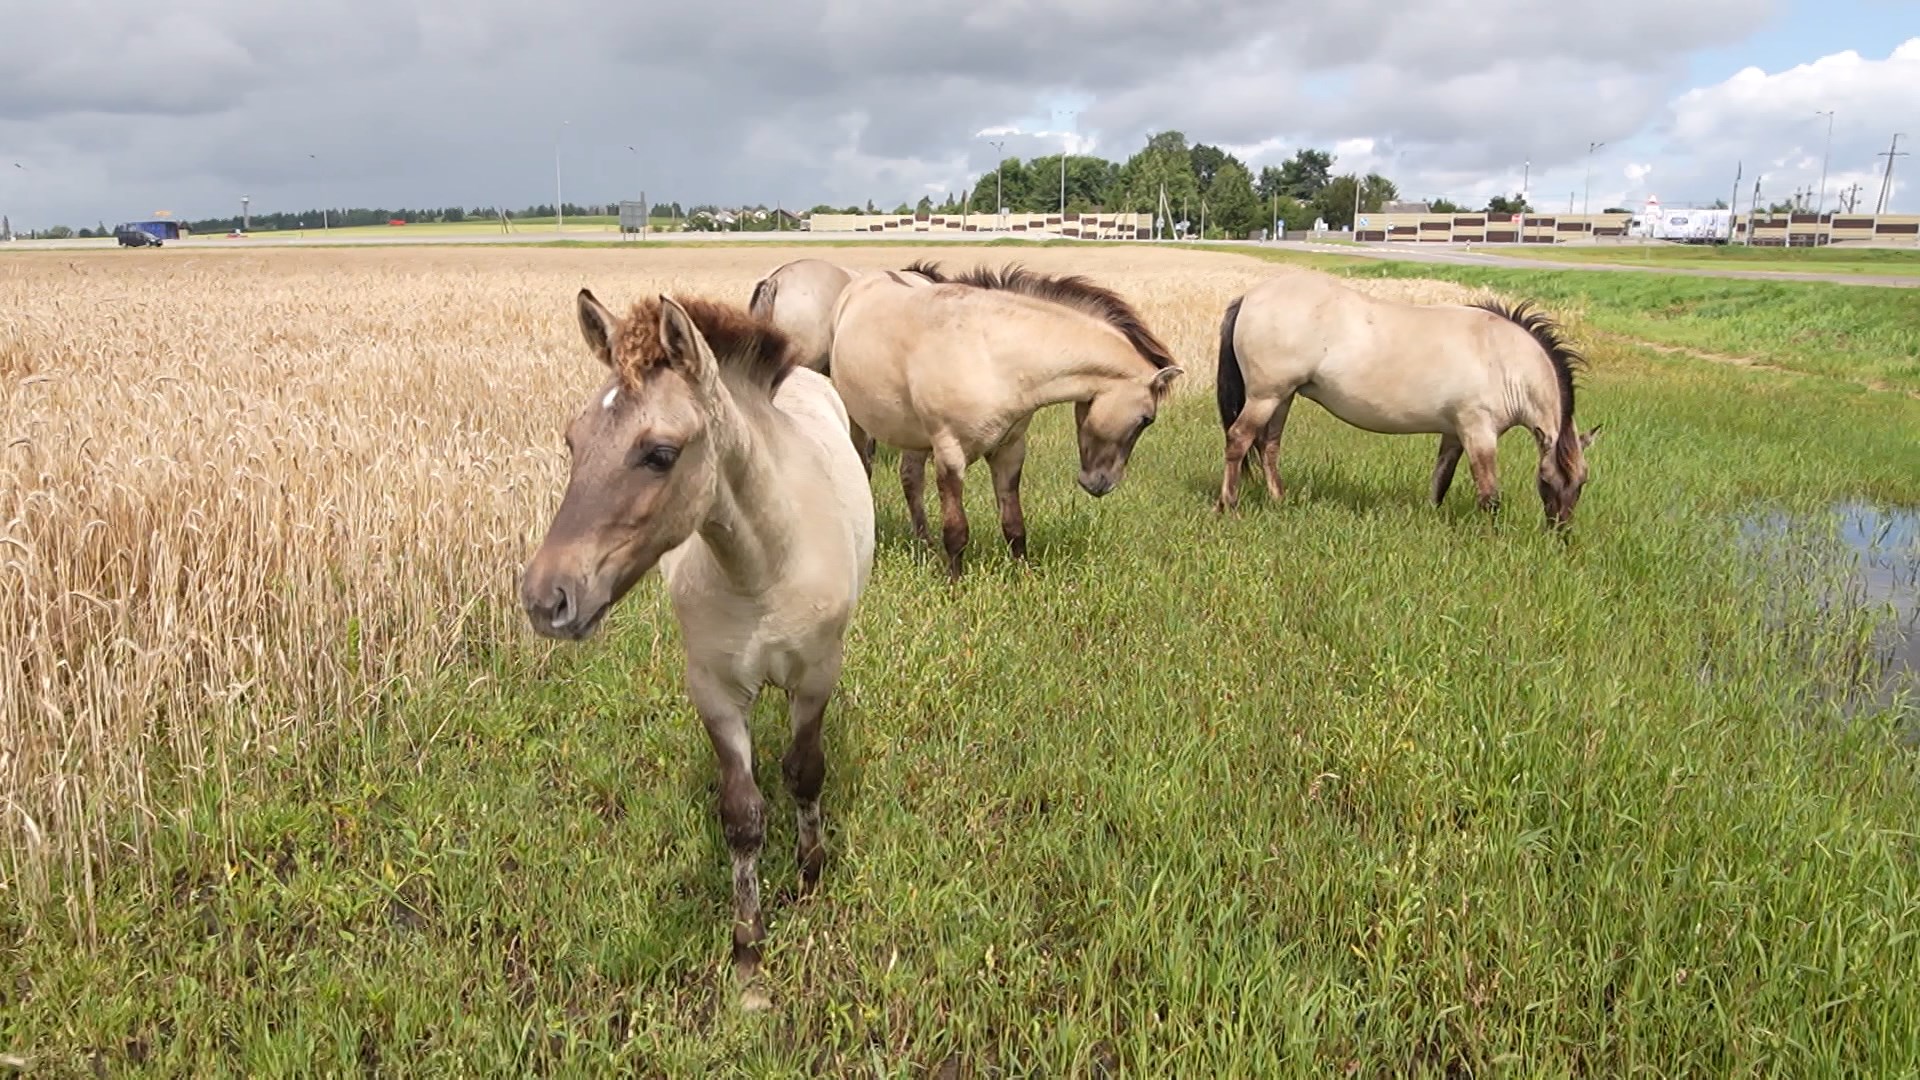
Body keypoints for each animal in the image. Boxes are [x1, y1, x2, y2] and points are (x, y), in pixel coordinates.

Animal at [519, 287, 876, 1011]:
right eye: (573, 439)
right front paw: (748, 957)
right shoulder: (714, 691)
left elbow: (805, 772)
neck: (764, 565)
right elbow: (741, 814)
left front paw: (810, 875)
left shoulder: (816, 676)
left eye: (659, 452)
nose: (547, 599)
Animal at [828, 260, 1184, 578]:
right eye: (1147, 419)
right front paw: (955, 584)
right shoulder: (950, 454)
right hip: (857, 422)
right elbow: (956, 530)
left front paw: (1024, 578)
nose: (1100, 484)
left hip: (912, 436)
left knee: (911, 480)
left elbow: (1014, 524)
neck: (991, 354)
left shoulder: (1009, 450)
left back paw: (924, 544)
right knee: (865, 468)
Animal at [1213, 266, 1600, 527]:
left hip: (1283, 396)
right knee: (1239, 440)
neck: (1504, 358)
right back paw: (1228, 506)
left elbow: (1440, 480)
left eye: (1582, 483)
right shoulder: (1479, 432)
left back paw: (1279, 500)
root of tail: (1248, 297)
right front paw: (1491, 537)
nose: (1560, 532)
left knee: (1269, 446)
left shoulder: (1453, 433)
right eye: (1547, 480)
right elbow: (1490, 495)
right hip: (1265, 395)